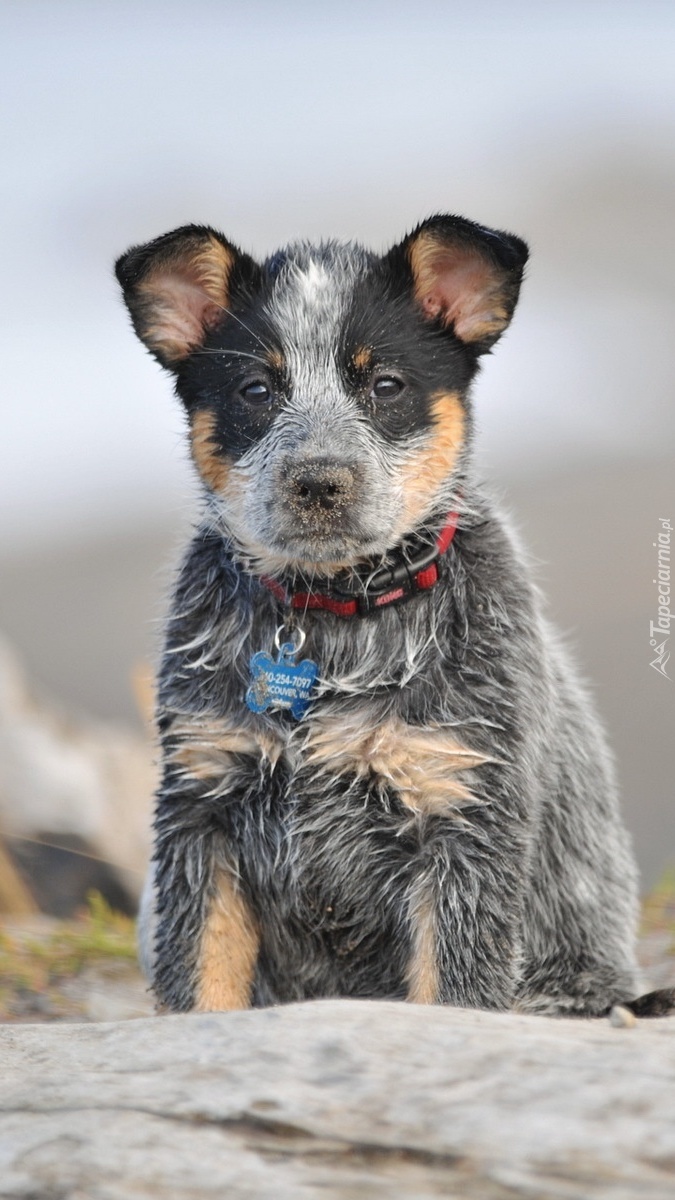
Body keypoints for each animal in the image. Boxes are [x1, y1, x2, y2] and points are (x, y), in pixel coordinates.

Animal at [118, 213, 667, 1012]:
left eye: (385, 384)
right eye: (256, 388)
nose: (319, 481)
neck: (331, 620)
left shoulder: (462, 807)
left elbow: (456, 989)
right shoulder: (202, 798)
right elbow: (199, 979)